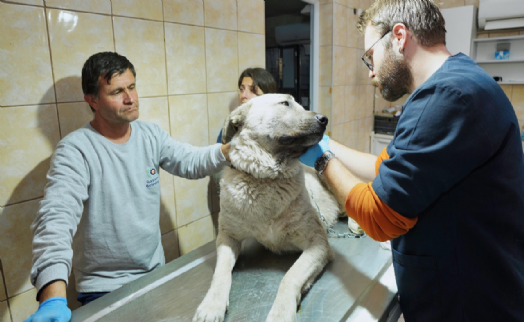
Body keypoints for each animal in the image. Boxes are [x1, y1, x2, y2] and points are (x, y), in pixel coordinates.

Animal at [192, 93, 360, 322]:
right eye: (285, 103)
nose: (324, 119)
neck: (266, 179)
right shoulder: (227, 237)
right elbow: (220, 273)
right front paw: (212, 304)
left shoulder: (318, 243)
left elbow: (290, 277)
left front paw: (281, 312)